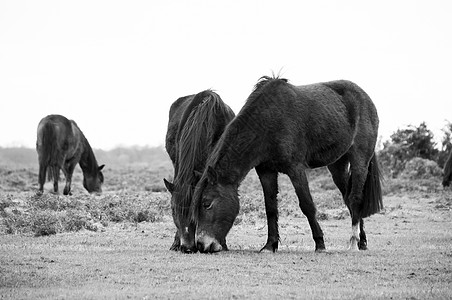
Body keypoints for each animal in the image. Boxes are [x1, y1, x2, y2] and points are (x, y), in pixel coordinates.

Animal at [190, 75, 382, 253]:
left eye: (207, 203)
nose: (201, 245)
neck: (267, 122)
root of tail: (365, 97)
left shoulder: (296, 169)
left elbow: (307, 205)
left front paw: (320, 244)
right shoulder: (266, 171)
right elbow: (271, 208)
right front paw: (270, 245)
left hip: (359, 160)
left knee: (355, 198)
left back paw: (353, 242)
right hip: (338, 165)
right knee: (348, 198)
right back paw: (362, 241)